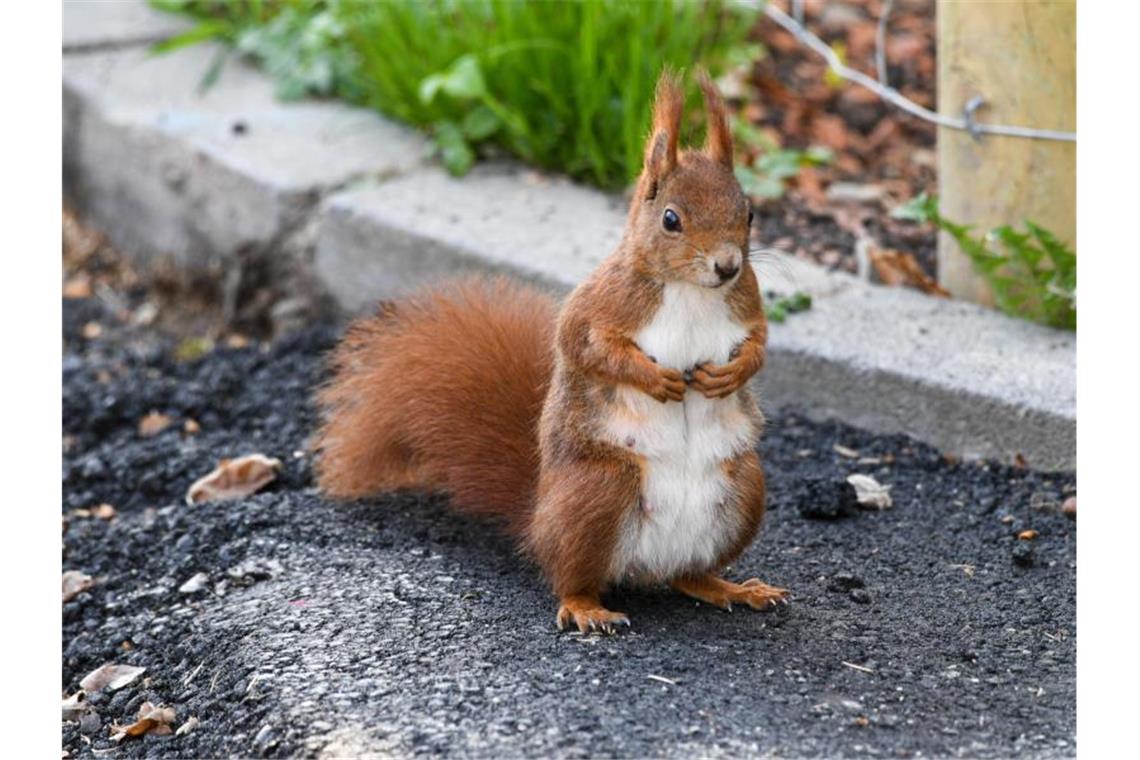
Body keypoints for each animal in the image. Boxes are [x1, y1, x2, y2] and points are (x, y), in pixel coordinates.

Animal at [316, 71, 788, 633]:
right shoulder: (598, 305)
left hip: (744, 487)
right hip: (600, 491)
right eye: (671, 219)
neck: (691, 291)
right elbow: (583, 346)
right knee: (570, 577)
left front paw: (732, 374)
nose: (728, 266)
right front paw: (653, 378)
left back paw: (732, 588)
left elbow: (760, 345)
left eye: (750, 212)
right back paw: (587, 607)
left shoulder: (748, 305)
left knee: (690, 576)